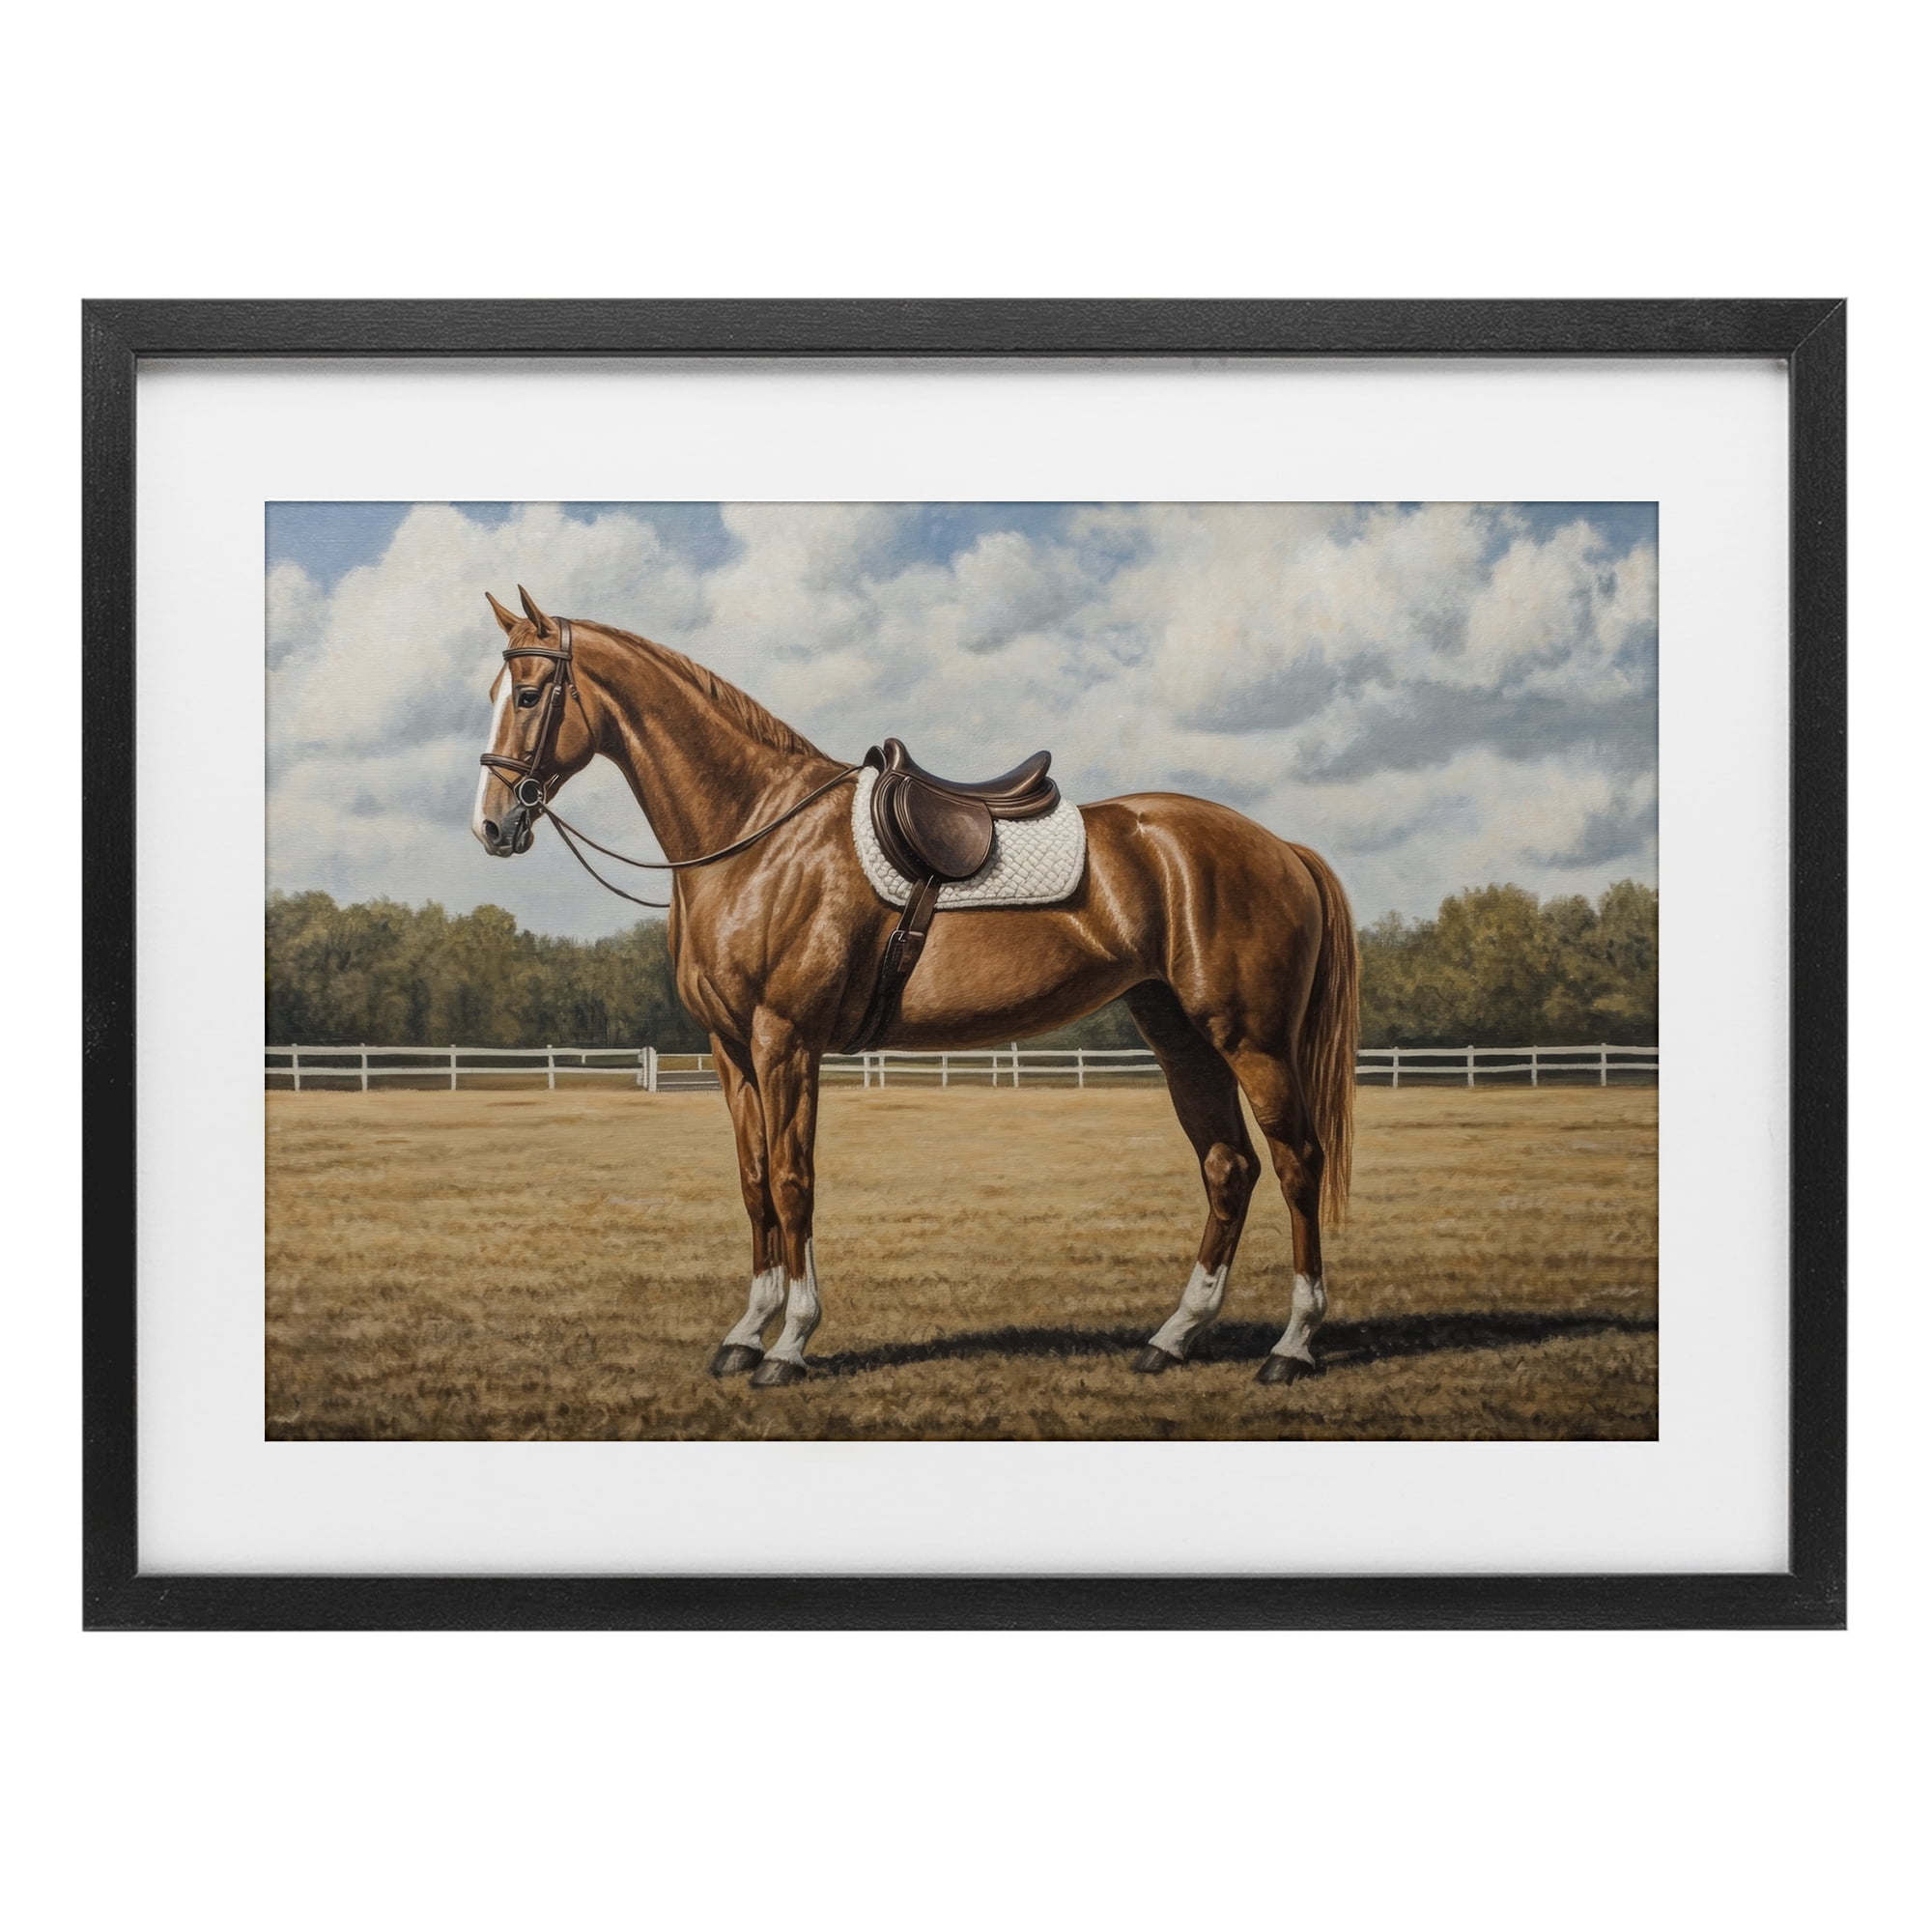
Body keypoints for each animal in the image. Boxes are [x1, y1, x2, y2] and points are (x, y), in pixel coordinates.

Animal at [471, 587, 1358, 1390]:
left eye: (527, 694)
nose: (492, 825)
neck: (758, 836)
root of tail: (1279, 846)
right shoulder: (729, 1048)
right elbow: (754, 1182)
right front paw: (745, 1334)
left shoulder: (785, 1039)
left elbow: (793, 1181)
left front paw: (790, 1343)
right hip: (1180, 1036)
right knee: (1228, 1167)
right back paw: (1172, 1338)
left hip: (1251, 1039)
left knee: (1297, 1161)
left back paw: (1290, 1347)